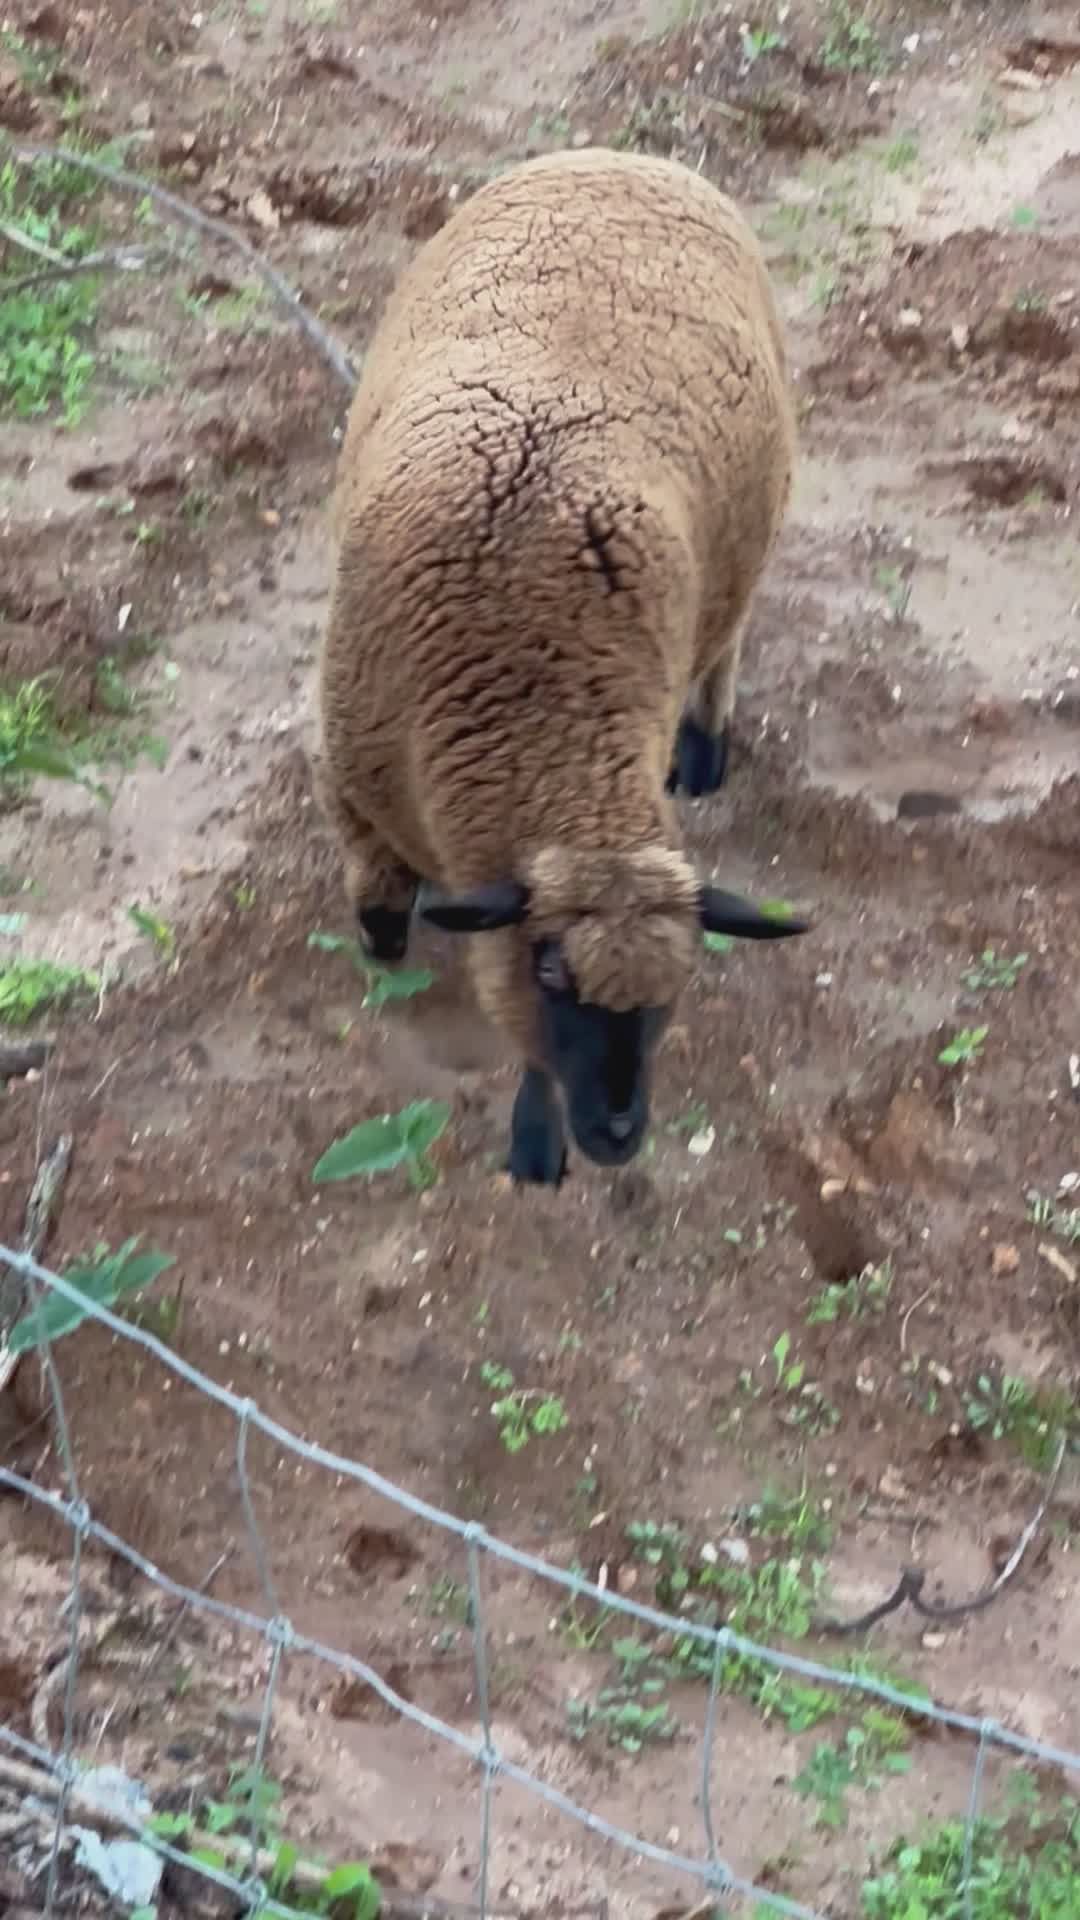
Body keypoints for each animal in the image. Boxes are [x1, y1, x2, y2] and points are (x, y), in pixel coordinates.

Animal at [317, 144, 808, 1185]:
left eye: (675, 991)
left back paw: (705, 752)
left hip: (747, 541)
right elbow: (382, 917)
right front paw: (386, 958)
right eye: (550, 968)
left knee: (727, 643)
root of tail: (632, 157)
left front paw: (534, 1135)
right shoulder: (355, 790)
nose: (619, 1135)